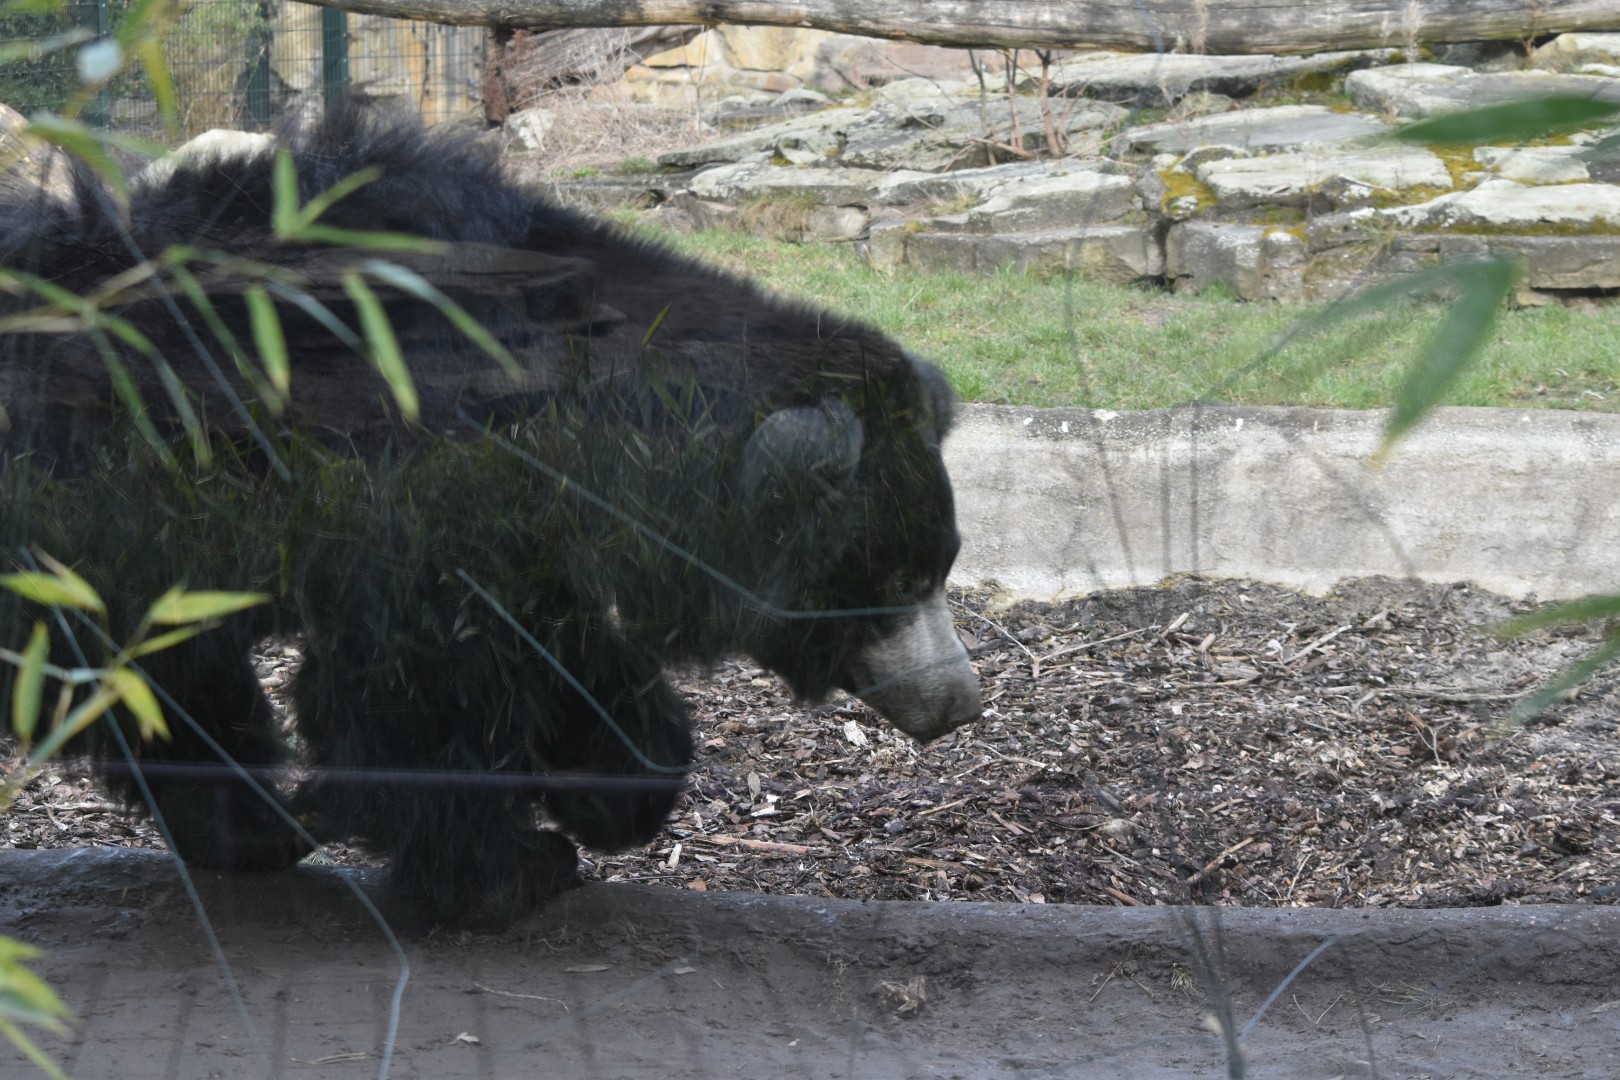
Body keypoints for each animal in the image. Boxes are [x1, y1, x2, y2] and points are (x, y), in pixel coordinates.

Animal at [0, 108, 980, 928]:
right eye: (898, 577)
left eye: (944, 569)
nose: (958, 705)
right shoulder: (406, 491)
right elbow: (411, 692)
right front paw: (510, 872)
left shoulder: (530, 530)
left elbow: (556, 650)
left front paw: (613, 785)